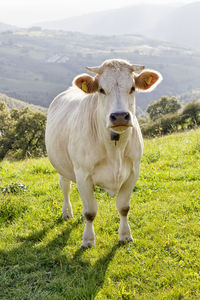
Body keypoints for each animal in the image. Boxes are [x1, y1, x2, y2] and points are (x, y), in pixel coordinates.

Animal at [45, 58, 162, 248]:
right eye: (101, 89)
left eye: (132, 87)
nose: (120, 116)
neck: (115, 148)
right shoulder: (83, 174)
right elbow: (90, 212)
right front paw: (87, 239)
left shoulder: (133, 172)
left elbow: (123, 207)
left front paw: (125, 235)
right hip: (62, 165)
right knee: (65, 186)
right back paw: (67, 212)